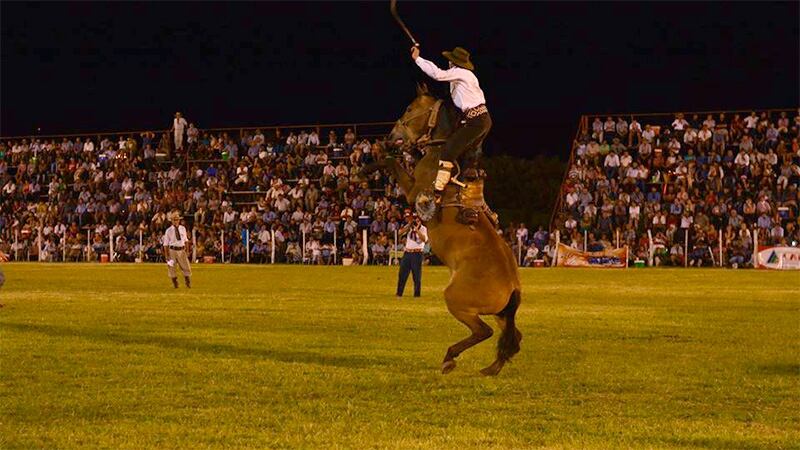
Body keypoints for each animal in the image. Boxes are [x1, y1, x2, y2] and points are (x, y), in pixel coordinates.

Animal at [372, 82, 520, 374]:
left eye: (410, 108)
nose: (392, 135)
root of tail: (512, 287)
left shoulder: (413, 191)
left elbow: (395, 165)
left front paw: (378, 156)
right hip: (501, 315)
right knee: (512, 337)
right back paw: (491, 369)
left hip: (457, 301)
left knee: (483, 331)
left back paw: (450, 358)